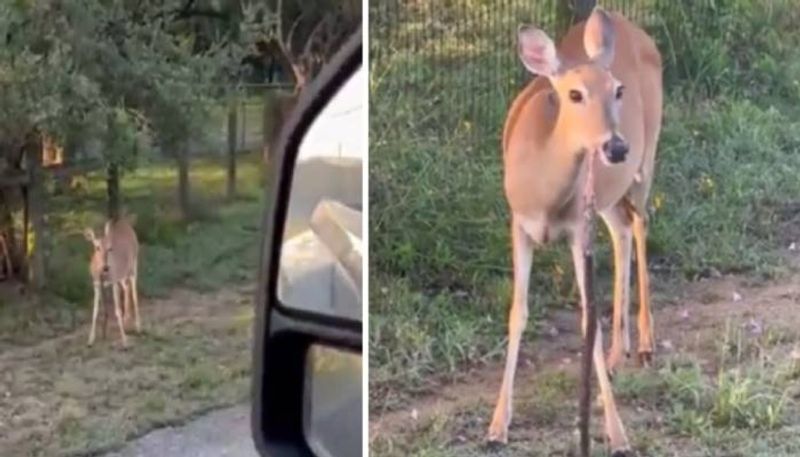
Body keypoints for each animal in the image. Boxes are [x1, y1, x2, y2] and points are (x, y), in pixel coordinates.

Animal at [85, 216, 141, 346]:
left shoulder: (113, 281)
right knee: (126, 288)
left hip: (133, 264)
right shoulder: (96, 284)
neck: (102, 275)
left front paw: (124, 341)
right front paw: (91, 339)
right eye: (97, 247)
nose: (106, 267)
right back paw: (127, 320)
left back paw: (137, 326)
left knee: (134, 292)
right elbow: (95, 310)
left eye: (110, 248)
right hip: (122, 275)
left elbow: (117, 310)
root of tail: (125, 224)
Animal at [488, 8, 664, 456]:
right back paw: (619, 354)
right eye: (574, 94)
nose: (616, 147)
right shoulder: (519, 223)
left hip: (647, 156)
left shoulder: (576, 229)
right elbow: (517, 312)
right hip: (606, 197)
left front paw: (618, 434)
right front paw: (497, 425)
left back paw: (645, 343)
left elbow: (588, 316)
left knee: (640, 222)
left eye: (618, 90)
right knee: (622, 229)